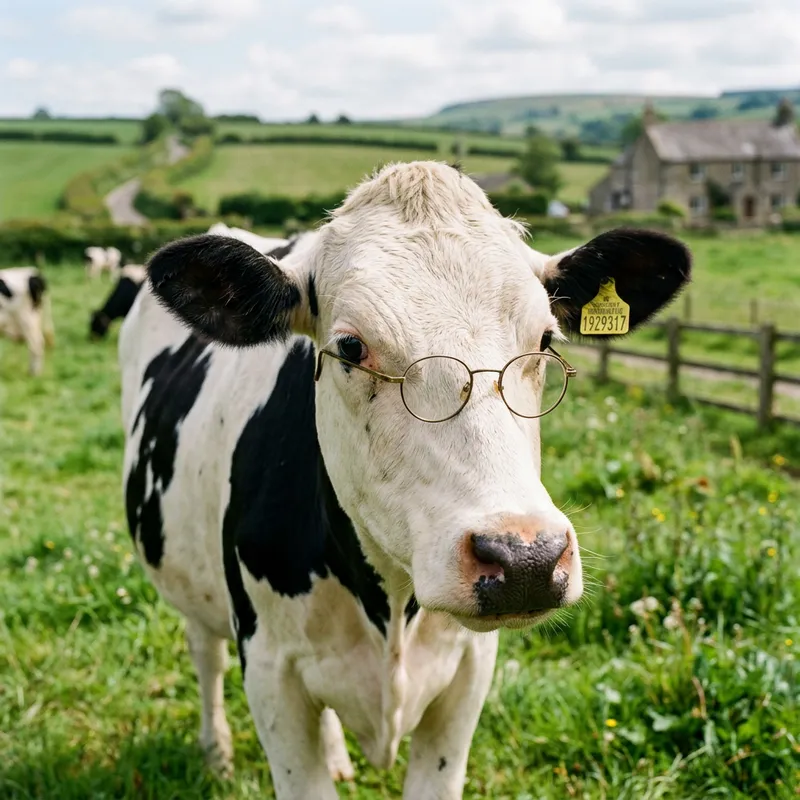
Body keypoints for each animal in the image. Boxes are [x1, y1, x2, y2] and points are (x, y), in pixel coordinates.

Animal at [120, 161, 690, 799]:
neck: (389, 601)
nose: (527, 560)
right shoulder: (270, 672)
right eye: (350, 346)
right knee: (205, 654)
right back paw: (216, 752)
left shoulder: (469, 670)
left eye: (545, 340)